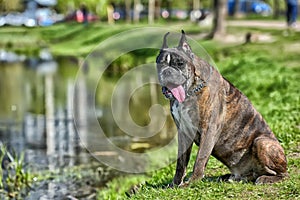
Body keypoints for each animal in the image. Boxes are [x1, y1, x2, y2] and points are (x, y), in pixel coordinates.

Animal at [156, 30, 288, 187]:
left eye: (180, 63)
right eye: (160, 63)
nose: (167, 72)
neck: (192, 88)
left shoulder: (209, 129)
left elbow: (200, 158)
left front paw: (192, 182)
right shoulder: (183, 132)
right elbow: (180, 163)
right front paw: (175, 184)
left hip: (262, 142)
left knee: (282, 174)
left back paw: (265, 178)